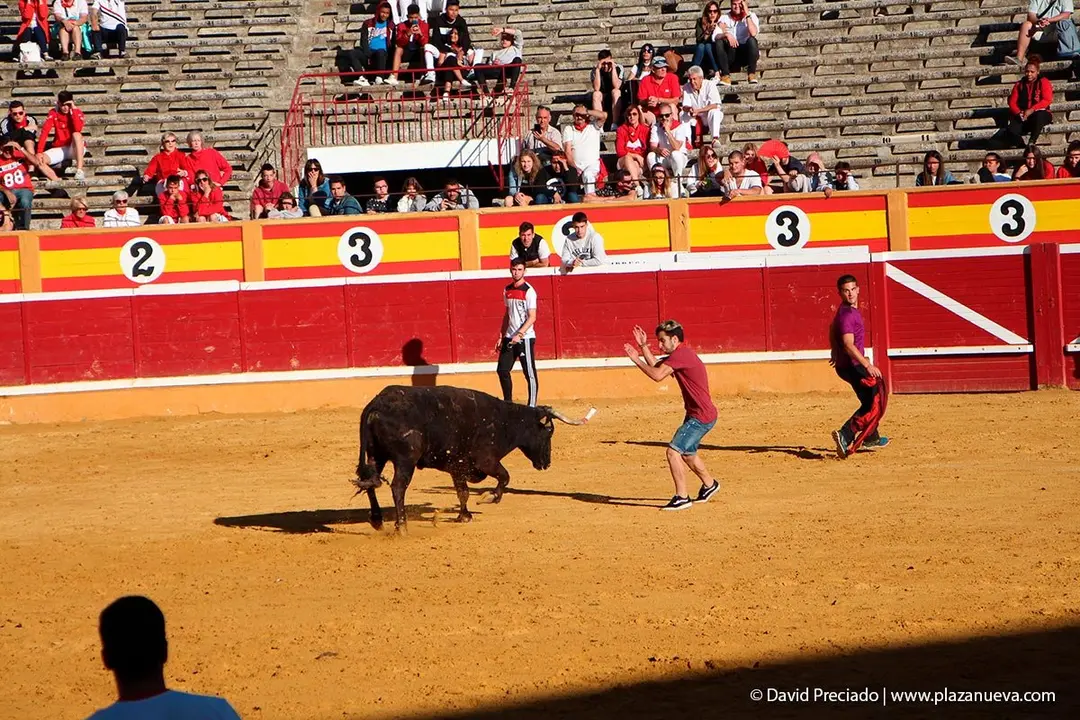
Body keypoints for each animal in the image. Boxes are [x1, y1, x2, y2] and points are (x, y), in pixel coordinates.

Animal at [352, 385, 588, 531]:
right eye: (549, 433)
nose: (546, 463)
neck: (504, 420)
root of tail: (376, 404)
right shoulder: (486, 461)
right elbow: (505, 477)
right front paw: (490, 497)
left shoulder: (458, 466)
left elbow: (462, 492)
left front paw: (464, 516)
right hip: (405, 460)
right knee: (398, 487)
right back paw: (402, 526)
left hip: (375, 456)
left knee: (371, 483)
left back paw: (377, 520)